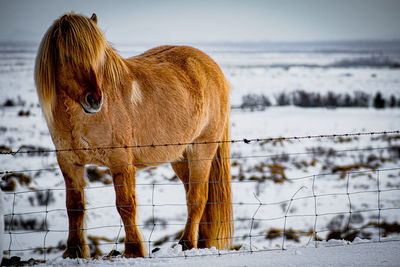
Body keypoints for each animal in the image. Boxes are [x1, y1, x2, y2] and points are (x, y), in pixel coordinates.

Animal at [35, 13, 233, 260]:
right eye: (67, 55)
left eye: (99, 57)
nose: (95, 100)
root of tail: (212, 67)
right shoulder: (69, 163)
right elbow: (75, 206)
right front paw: (74, 252)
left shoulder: (121, 161)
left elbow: (125, 205)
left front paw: (133, 250)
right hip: (180, 156)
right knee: (195, 198)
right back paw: (201, 243)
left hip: (202, 149)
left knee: (197, 198)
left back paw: (187, 244)